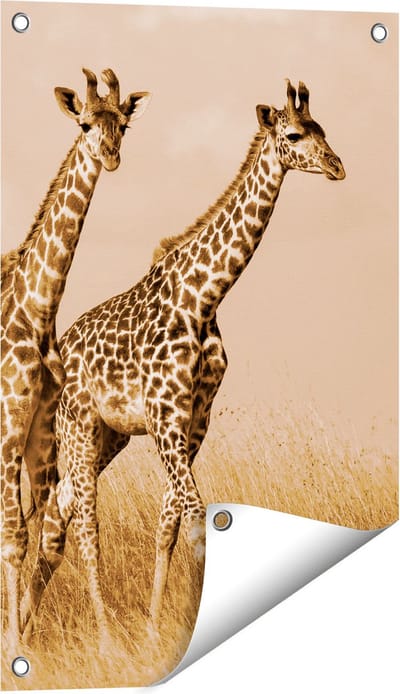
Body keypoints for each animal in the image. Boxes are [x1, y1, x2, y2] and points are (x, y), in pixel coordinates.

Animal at [1, 67, 150, 651]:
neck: (38, 310)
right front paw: (15, 647)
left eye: (123, 125)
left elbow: (39, 531)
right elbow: (14, 533)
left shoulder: (41, 430)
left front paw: (18, 640)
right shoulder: (9, 420)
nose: (110, 155)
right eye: (84, 123)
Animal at [28, 80, 345, 643]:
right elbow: (197, 513)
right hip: (78, 428)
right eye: (293, 135)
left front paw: (157, 626)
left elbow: (171, 519)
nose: (337, 166)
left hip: (110, 435)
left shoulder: (196, 418)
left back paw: (21, 629)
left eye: (322, 129)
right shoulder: (164, 416)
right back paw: (104, 635)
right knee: (83, 521)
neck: (204, 298)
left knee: (57, 516)